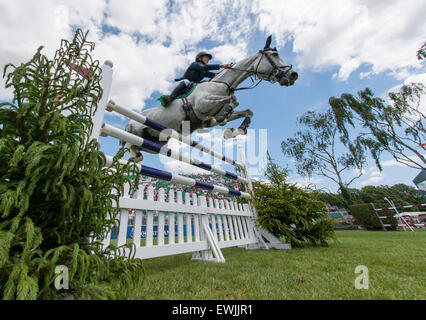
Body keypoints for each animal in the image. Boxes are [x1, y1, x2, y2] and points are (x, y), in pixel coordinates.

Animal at [121, 35, 298, 161]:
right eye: (274, 54)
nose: (293, 75)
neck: (224, 85)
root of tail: (128, 123)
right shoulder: (202, 104)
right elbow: (233, 100)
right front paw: (223, 119)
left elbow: (247, 111)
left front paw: (234, 131)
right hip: (135, 133)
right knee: (131, 148)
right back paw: (134, 156)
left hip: (154, 142)